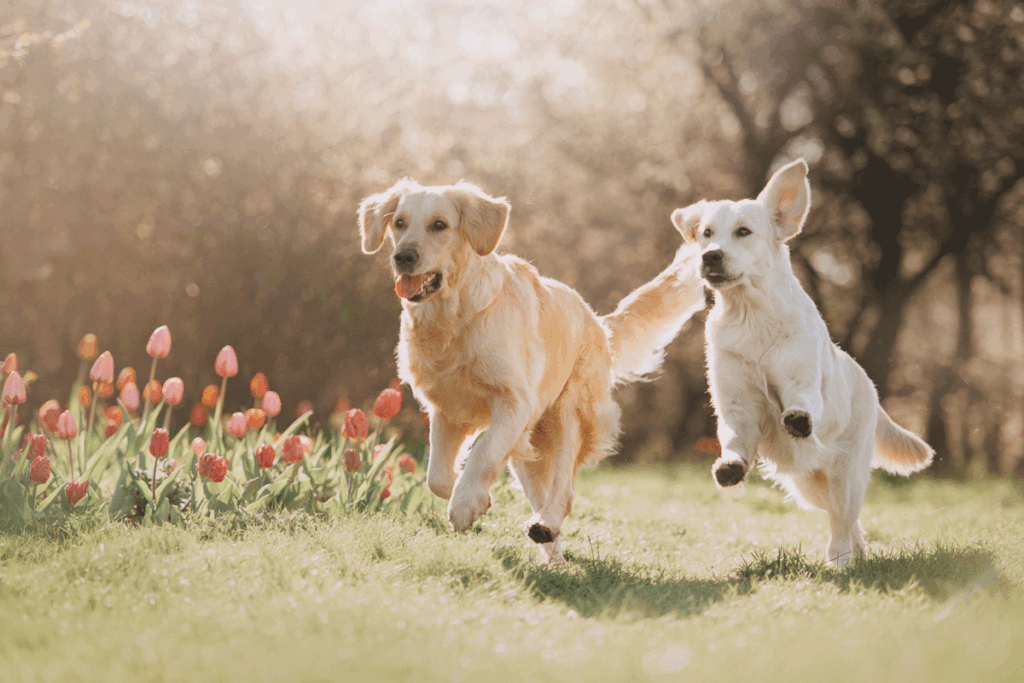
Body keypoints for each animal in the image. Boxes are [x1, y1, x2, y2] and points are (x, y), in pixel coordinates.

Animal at [358, 180, 704, 561]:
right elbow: (436, 475)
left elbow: (483, 452)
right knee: (543, 495)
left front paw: (465, 504)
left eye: (439, 225)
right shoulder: (447, 411)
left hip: (569, 414)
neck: (455, 317)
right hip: (529, 449)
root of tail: (597, 320)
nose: (403, 256)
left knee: (564, 492)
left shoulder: (514, 402)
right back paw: (552, 552)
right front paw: (476, 499)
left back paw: (546, 524)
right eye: (399, 223)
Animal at [671, 158, 937, 565]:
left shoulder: (802, 379)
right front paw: (731, 466)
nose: (710, 256)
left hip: (845, 476)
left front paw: (797, 418)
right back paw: (857, 552)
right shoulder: (735, 403)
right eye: (706, 233)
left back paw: (842, 561)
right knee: (847, 520)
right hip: (808, 485)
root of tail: (870, 386)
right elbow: (733, 435)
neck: (750, 315)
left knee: (843, 520)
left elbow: (802, 401)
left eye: (743, 231)